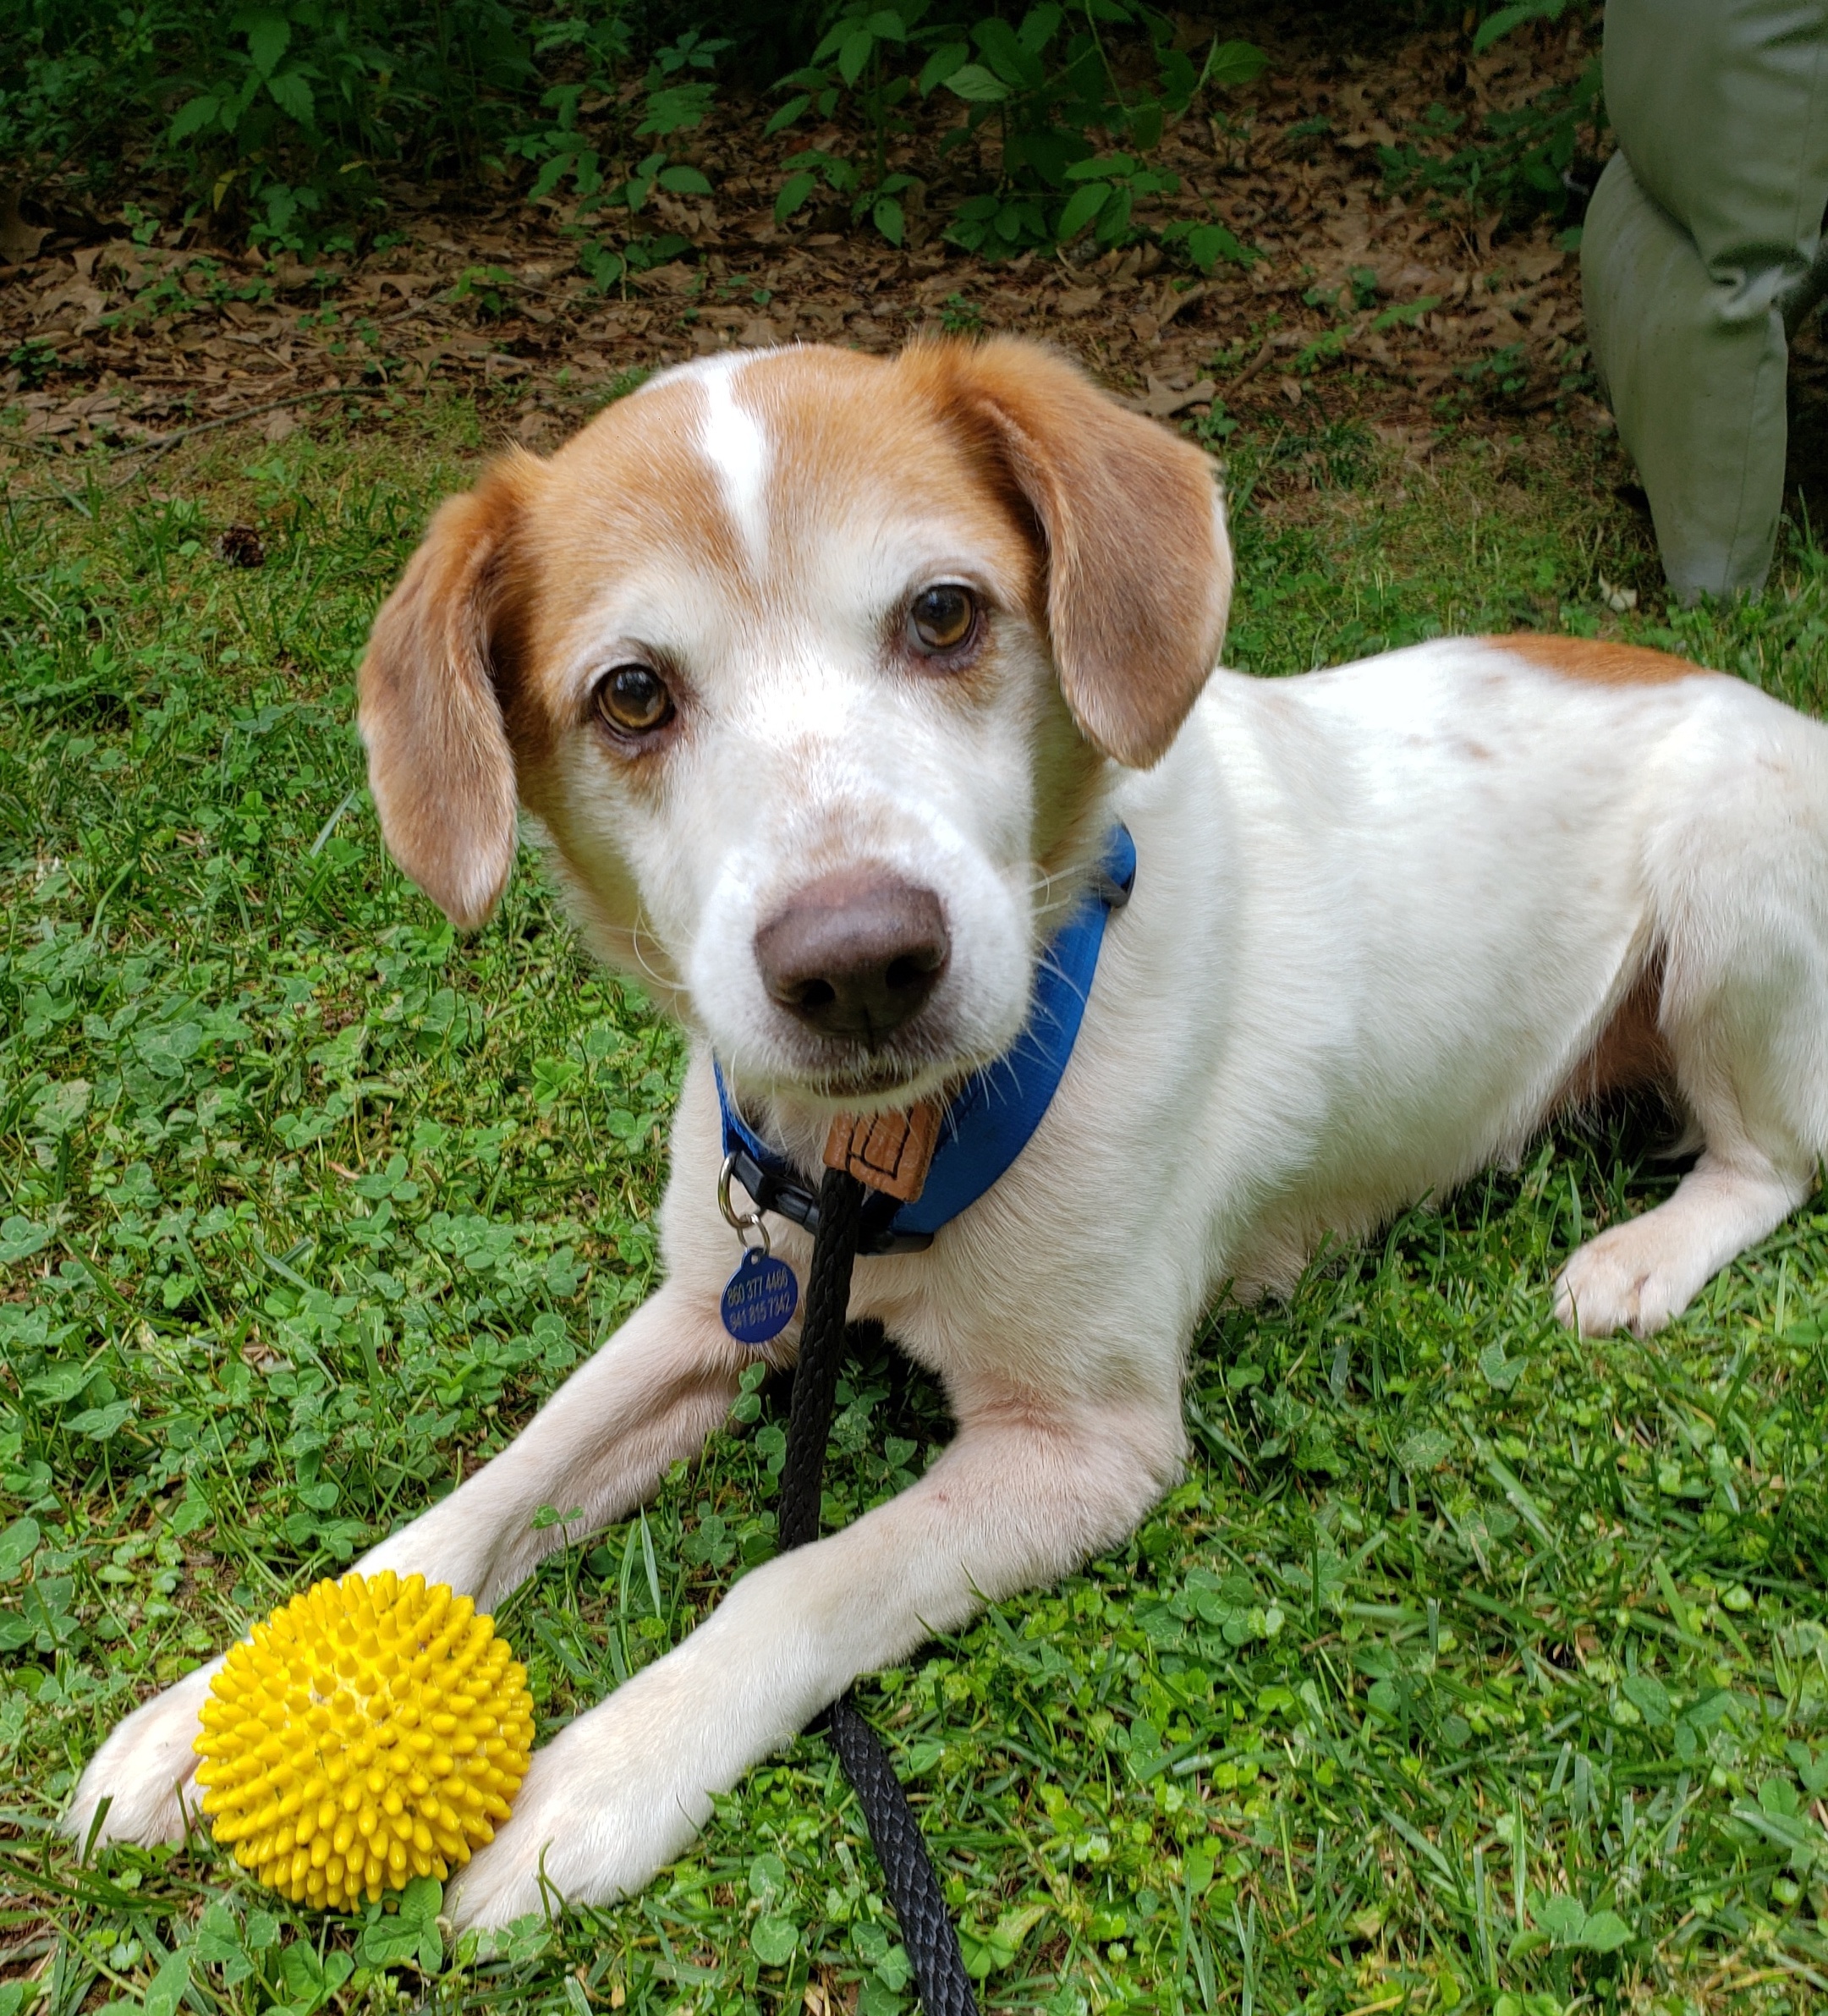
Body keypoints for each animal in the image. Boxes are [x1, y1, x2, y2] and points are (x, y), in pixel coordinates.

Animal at [63, 338, 1828, 1927]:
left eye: (944, 613)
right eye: (631, 694)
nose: (858, 959)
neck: (883, 1155)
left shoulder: (1084, 1445)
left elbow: (800, 1574)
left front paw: (604, 1773)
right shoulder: (713, 1299)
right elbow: (500, 1480)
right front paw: (220, 1703)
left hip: (1730, 893)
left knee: (1772, 1162)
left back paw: (1643, 1255)